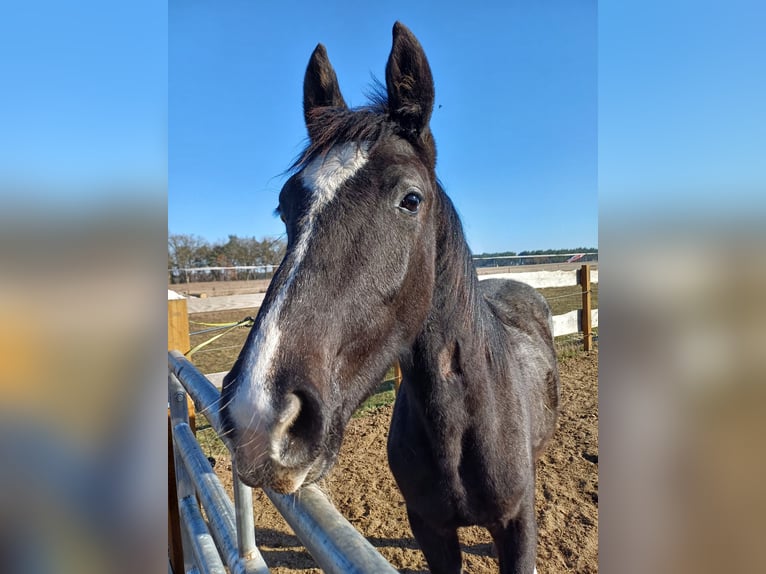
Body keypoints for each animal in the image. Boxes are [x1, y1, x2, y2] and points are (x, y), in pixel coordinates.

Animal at [220, 22, 559, 574]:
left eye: (411, 199)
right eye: (284, 206)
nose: (259, 417)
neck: (462, 424)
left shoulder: (517, 526)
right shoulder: (429, 528)